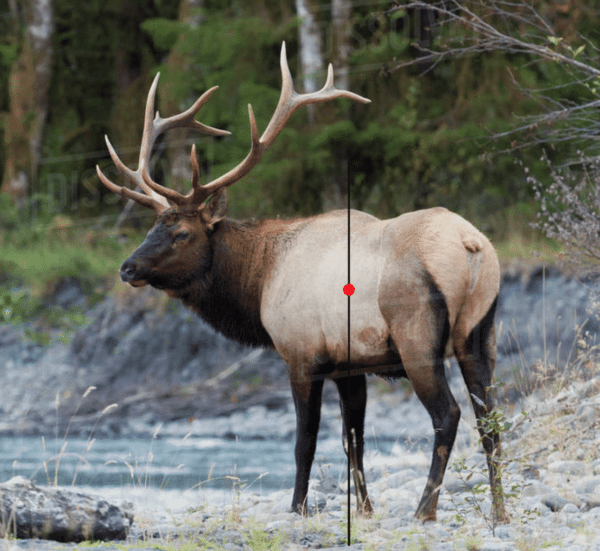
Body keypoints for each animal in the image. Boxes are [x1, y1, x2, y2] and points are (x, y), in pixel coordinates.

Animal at [97, 42, 506, 520]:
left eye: (181, 233)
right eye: (151, 228)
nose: (127, 268)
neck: (259, 281)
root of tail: (471, 246)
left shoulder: (301, 354)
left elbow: (305, 442)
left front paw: (297, 507)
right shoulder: (350, 365)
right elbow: (353, 441)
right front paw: (363, 510)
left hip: (417, 337)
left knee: (448, 415)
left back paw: (425, 509)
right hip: (479, 333)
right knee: (489, 418)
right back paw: (500, 510)